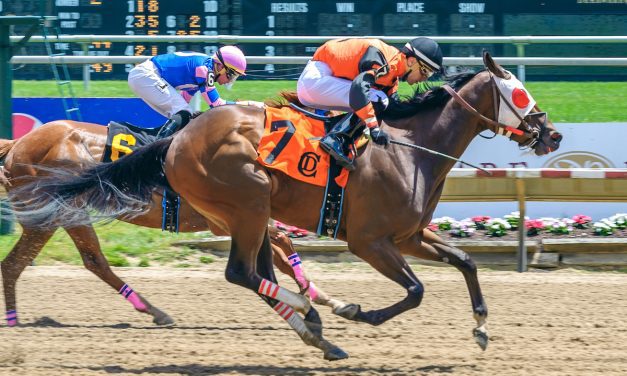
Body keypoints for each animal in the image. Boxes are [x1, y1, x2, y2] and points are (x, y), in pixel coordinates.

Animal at [11, 52, 564, 358]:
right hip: (247, 200)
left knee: (249, 272)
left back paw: (314, 332)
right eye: (518, 92)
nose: (552, 134)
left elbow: (466, 261)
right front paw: (356, 311)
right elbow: (415, 291)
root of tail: (176, 140)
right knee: (238, 272)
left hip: (240, 211)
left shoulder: (408, 235)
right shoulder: (369, 241)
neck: (410, 146)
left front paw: (482, 329)